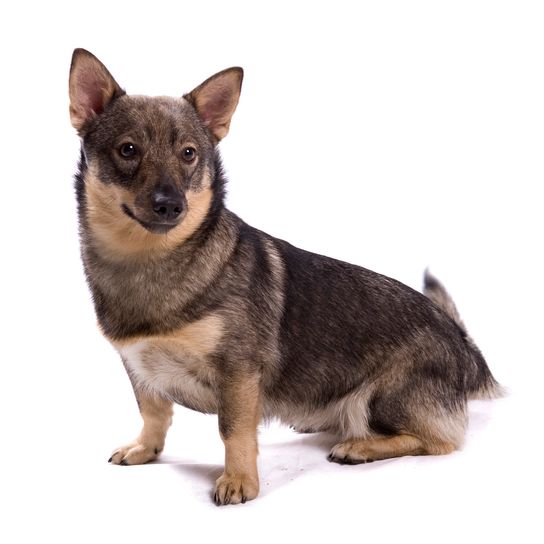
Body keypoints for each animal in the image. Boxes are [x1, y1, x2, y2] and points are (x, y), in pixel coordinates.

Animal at [69, 47, 502, 506]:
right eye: (128, 150)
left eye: (188, 154)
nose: (171, 204)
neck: (149, 260)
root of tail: (463, 343)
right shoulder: (137, 366)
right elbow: (153, 412)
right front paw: (146, 449)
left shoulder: (238, 372)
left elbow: (233, 430)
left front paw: (239, 480)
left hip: (384, 397)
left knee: (440, 440)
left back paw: (359, 446)